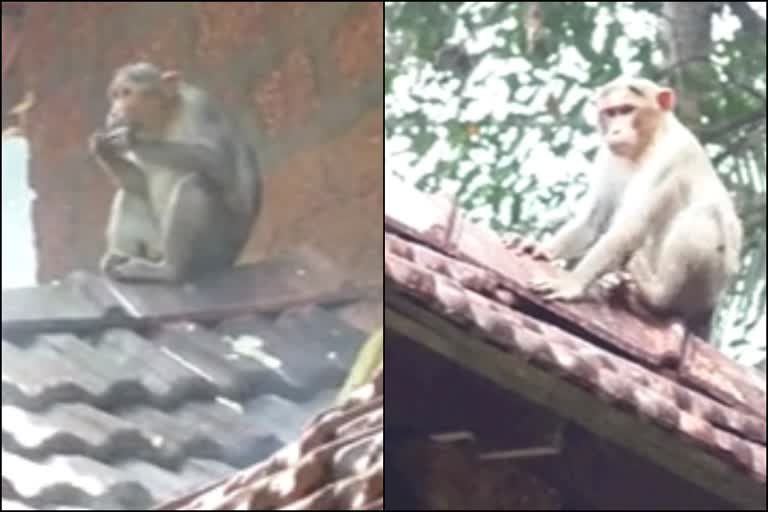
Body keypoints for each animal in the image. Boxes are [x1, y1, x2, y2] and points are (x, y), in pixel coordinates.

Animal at [88, 63, 262, 284]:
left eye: (126, 93)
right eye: (115, 95)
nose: (113, 112)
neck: (165, 118)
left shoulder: (198, 105)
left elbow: (219, 162)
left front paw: (130, 141)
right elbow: (139, 184)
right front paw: (103, 149)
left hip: (216, 252)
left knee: (193, 184)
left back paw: (169, 271)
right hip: (157, 242)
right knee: (129, 194)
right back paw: (120, 257)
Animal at [532, 76, 740, 340]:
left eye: (627, 109)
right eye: (610, 112)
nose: (615, 130)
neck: (650, 140)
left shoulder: (671, 154)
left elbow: (631, 226)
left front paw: (571, 283)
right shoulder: (607, 154)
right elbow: (593, 219)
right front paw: (542, 249)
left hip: (705, 292)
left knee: (704, 213)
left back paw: (657, 295)